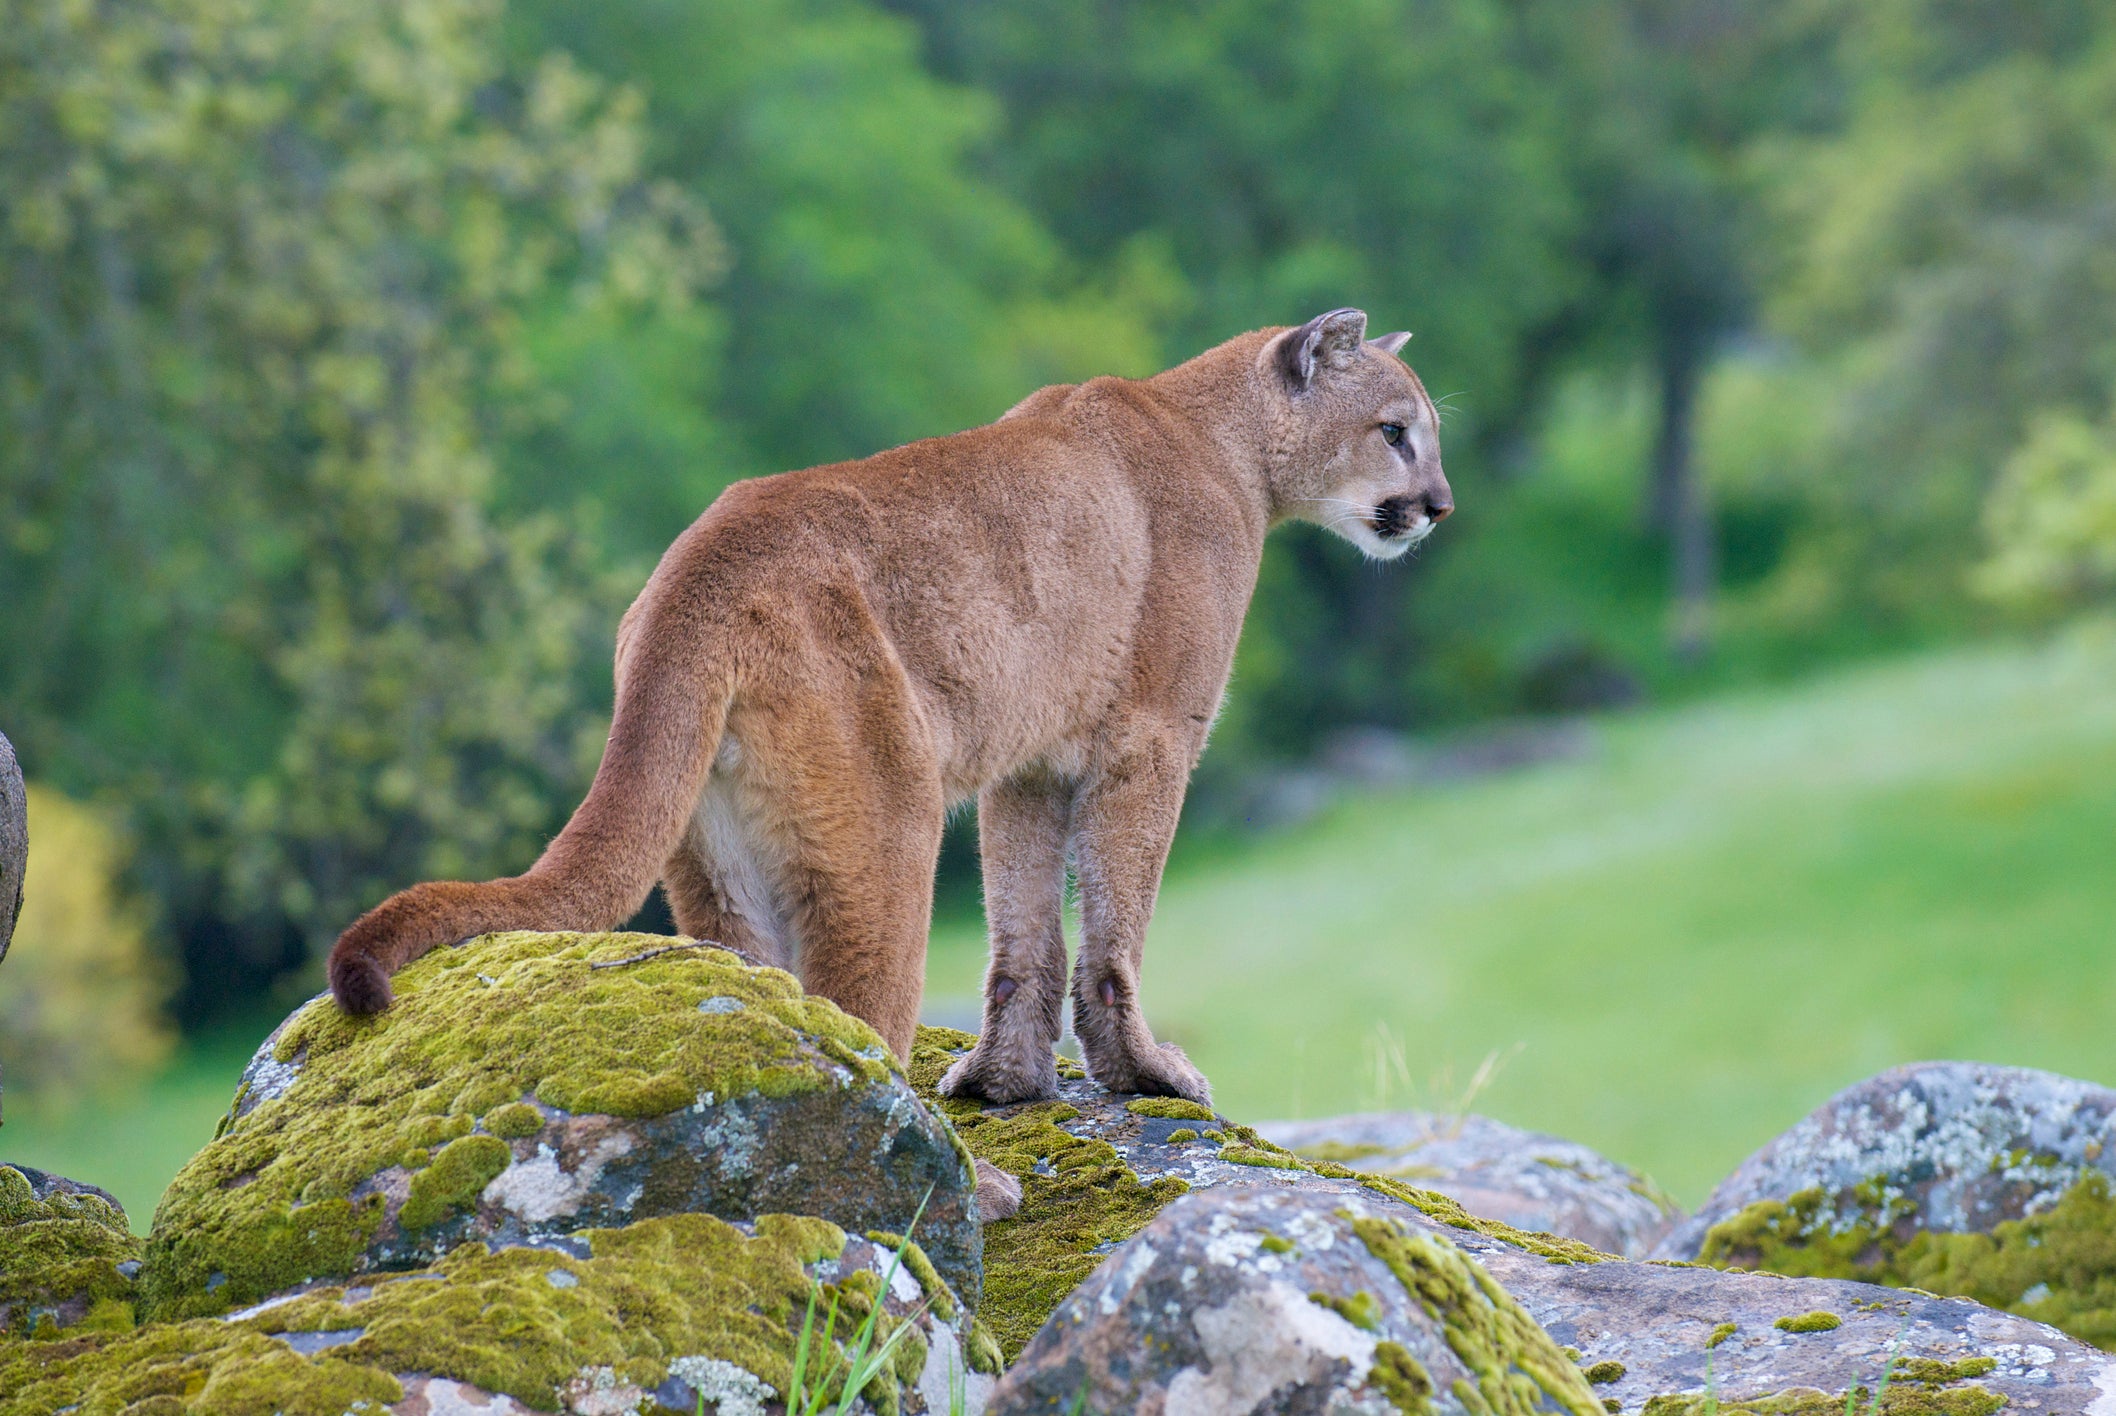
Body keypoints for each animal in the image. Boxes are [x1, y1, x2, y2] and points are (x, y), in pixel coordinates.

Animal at [325, 309, 1455, 1126]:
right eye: (1395, 431)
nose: (1442, 504)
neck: (1224, 440)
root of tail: (700, 561)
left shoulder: (1027, 767)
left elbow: (1022, 935)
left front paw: (1005, 1082)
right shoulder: (1151, 739)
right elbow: (1113, 930)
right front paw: (1146, 1073)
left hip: (721, 863)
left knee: (776, 1005)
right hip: (885, 826)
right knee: (860, 1018)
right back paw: (959, 1199)